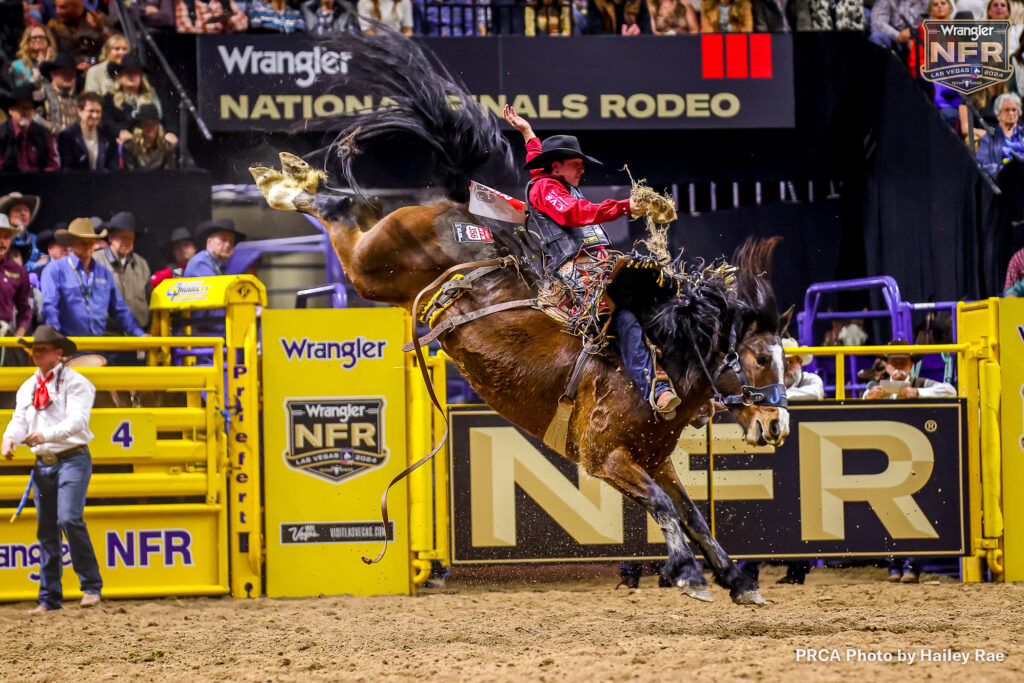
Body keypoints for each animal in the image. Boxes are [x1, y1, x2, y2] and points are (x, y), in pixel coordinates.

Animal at [249, 26, 790, 606]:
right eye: (760, 359)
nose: (777, 425)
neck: (656, 364)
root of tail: (456, 207)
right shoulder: (605, 457)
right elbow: (666, 508)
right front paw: (688, 573)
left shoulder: (655, 459)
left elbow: (693, 514)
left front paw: (737, 579)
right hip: (371, 267)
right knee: (338, 218)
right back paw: (287, 184)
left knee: (352, 212)